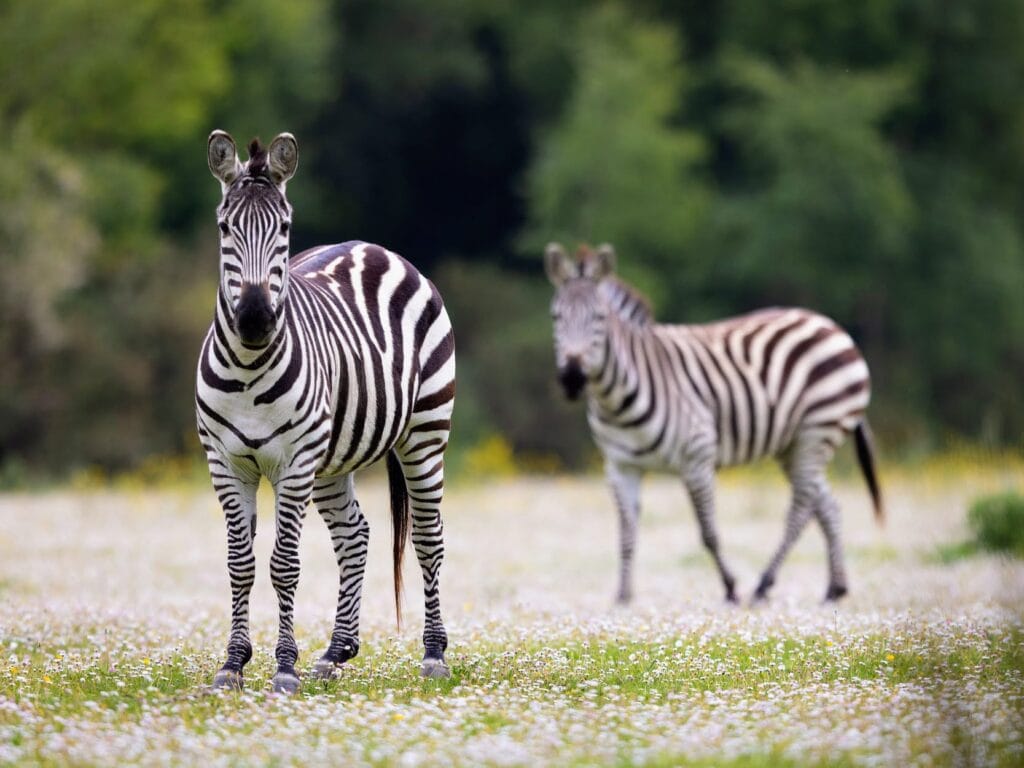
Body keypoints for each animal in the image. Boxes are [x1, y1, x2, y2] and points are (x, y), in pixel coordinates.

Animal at [197, 130, 455, 693]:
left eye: (284, 228)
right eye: (225, 227)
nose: (254, 319)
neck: (248, 367)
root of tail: (374, 248)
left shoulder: (293, 463)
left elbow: (284, 564)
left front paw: (284, 666)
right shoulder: (225, 463)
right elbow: (241, 564)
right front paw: (233, 664)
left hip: (424, 434)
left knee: (427, 538)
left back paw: (433, 654)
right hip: (334, 458)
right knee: (355, 534)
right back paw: (338, 651)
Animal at [544, 242, 883, 605]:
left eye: (600, 318)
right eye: (556, 317)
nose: (572, 378)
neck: (617, 401)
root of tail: (829, 324)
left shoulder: (697, 458)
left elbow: (709, 533)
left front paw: (731, 587)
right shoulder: (620, 467)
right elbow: (626, 533)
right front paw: (623, 596)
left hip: (817, 429)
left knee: (801, 508)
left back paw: (764, 583)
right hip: (793, 444)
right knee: (828, 505)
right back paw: (835, 587)